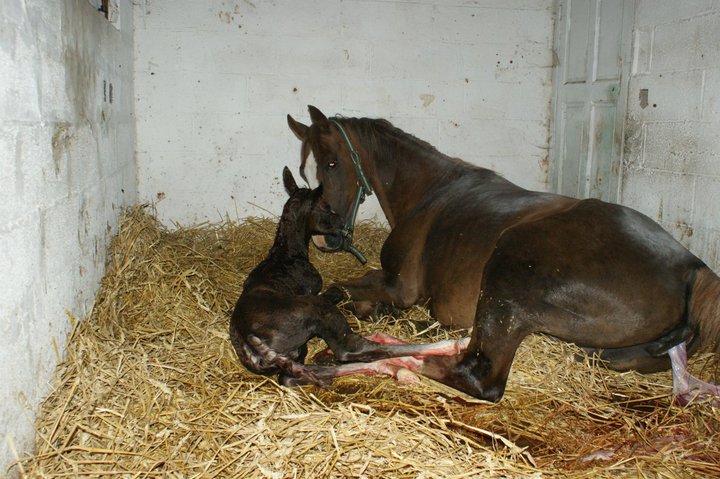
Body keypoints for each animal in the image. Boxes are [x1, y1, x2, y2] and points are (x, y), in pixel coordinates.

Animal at [229, 168, 466, 386]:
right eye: (326, 207)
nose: (342, 223)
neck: (285, 253)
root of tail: (249, 341)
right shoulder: (315, 290)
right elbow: (335, 292)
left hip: (295, 354)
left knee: (295, 376)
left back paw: (395, 369)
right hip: (316, 309)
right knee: (350, 349)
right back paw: (454, 344)